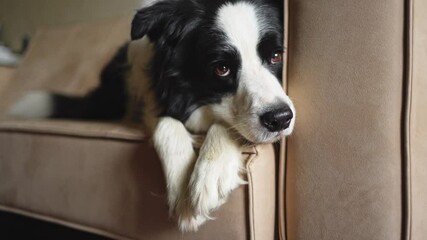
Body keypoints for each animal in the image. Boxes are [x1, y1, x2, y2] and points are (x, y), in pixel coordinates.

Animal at [10, 0, 298, 232]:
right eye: (221, 69)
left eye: (276, 55)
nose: (280, 119)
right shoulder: (152, 101)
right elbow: (166, 124)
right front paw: (182, 195)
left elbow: (225, 123)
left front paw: (209, 173)